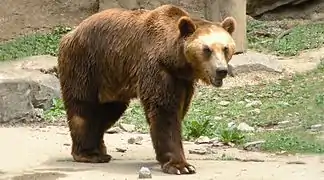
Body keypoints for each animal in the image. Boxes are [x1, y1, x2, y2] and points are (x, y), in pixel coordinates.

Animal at [57, 4, 237, 175]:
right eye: (207, 49)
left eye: (225, 48)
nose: (221, 70)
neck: (175, 61)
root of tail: (71, 32)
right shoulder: (157, 70)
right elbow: (165, 112)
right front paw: (181, 166)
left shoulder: (184, 81)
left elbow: (179, 110)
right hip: (87, 65)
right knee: (85, 109)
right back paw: (89, 154)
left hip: (112, 80)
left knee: (108, 111)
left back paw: (100, 150)